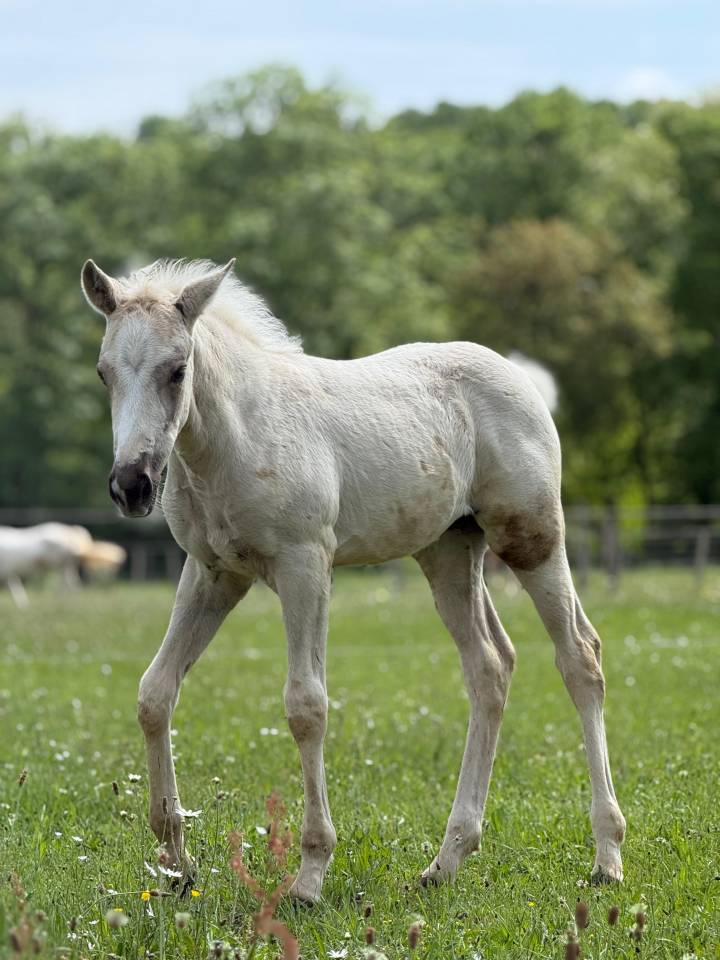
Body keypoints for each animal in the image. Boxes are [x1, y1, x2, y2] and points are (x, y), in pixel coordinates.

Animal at [81, 256, 625, 902]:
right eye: (104, 372)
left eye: (177, 370)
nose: (131, 485)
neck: (236, 439)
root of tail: (523, 380)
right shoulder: (213, 574)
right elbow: (155, 693)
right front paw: (176, 864)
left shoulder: (305, 566)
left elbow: (306, 705)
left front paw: (310, 875)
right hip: (449, 552)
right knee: (491, 667)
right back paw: (447, 860)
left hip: (532, 538)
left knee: (580, 657)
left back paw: (607, 855)